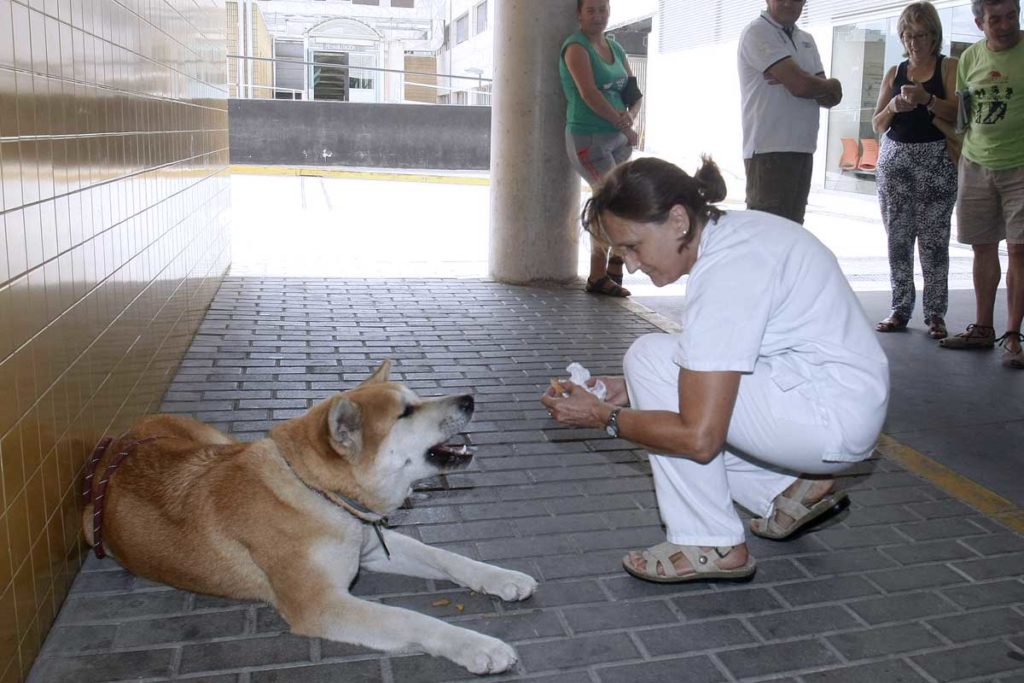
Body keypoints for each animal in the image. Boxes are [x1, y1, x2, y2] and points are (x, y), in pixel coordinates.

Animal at [81, 360, 536, 675]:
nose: (469, 399)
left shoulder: (372, 546)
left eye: (416, 398)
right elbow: (413, 619)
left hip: (219, 441)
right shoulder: (322, 604)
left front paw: (502, 578)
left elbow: (448, 558)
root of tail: (119, 442)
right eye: (405, 413)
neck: (318, 493)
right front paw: (477, 645)